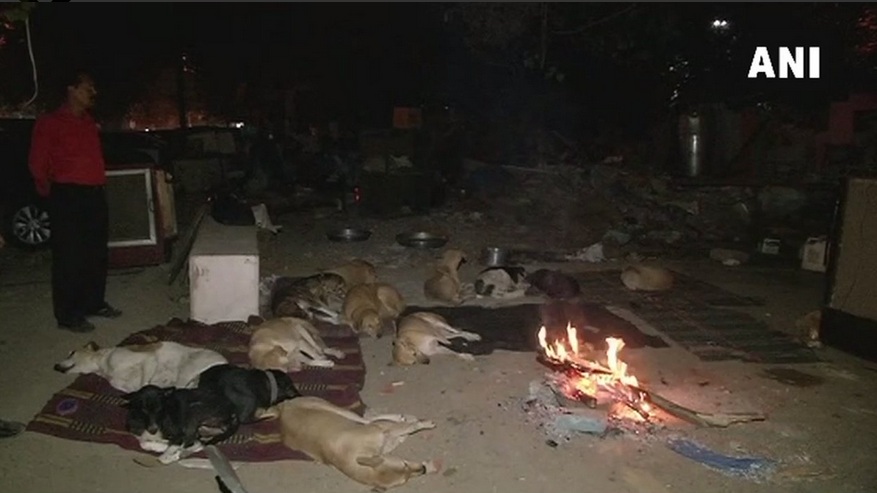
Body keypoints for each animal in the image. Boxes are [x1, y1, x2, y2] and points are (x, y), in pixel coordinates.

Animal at [278, 396, 438, 491]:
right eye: (405, 478)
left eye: (405, 464)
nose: (423, 469)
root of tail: (282, 409)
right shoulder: (383, 434)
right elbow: (405, 431)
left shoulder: (382, 432)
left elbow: (405, 429)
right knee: (369, 420)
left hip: (334, 409)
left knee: (366, 419)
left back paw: (399, 417)